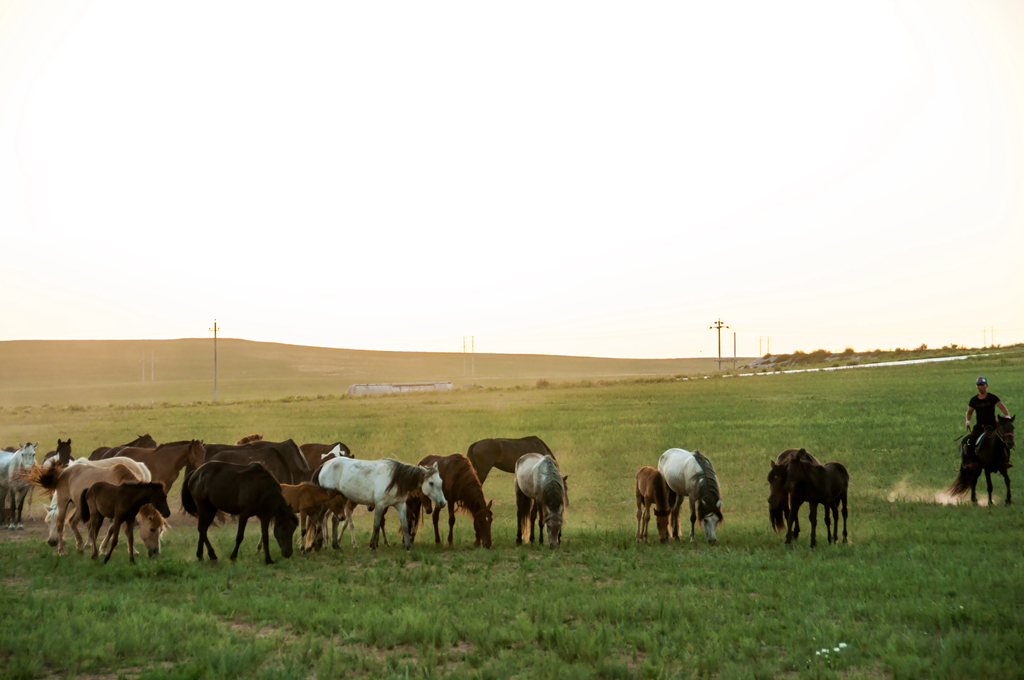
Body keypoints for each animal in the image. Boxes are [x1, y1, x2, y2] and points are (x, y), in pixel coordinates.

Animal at [313, 456, 446, 553]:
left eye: (440, 481)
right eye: (431, 483)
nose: (443, 503)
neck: (396, 480)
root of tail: (324, 465)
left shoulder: (401, 505)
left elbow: (404, 526)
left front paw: (408, 546)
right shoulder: (380, 505)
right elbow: (376, 524)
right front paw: (372, 545)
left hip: (342, 499)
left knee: (335, 520)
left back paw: (336, 546)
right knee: (320, 517)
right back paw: (319, 544)